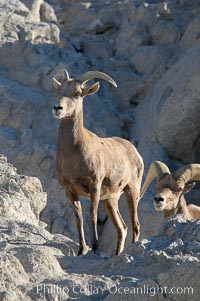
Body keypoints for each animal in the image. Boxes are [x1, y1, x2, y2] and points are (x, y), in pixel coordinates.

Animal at [50, 69, 143, 254]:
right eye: (59, 91)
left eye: (78, 93)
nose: (58, 108)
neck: (73, 154)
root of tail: (135, 153)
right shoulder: (70, 191)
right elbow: (78, 218)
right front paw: (81, 250)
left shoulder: (95, 185)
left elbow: (92, 216)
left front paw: (95, 248)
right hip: (110, 200)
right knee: (122, 228)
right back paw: (116, 254)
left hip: (131, 191)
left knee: (135, 225)